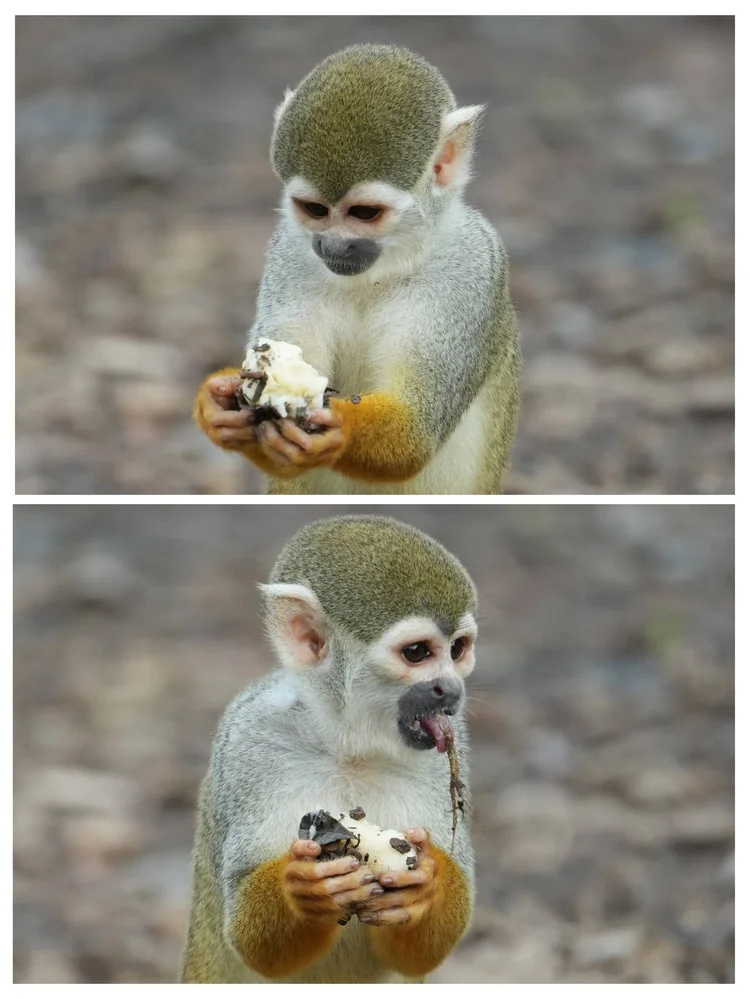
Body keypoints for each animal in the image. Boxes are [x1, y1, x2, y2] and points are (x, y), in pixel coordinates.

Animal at [180, 515, 477, 983]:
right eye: (417, 653)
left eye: (458, 649)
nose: (451, 689)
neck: (347, 744)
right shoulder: (248, 742)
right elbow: (249, 939)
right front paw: (304, 892)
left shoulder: (454, 742)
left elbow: (417, 955)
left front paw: (428, 886)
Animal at [194, 44, 521, 495]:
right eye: (315, 210)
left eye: (364, 213)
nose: (333, 246)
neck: (382, 271)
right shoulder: (288, 253)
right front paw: (217, 403)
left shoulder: (470, 272)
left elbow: (412, 434)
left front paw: (338, 429)